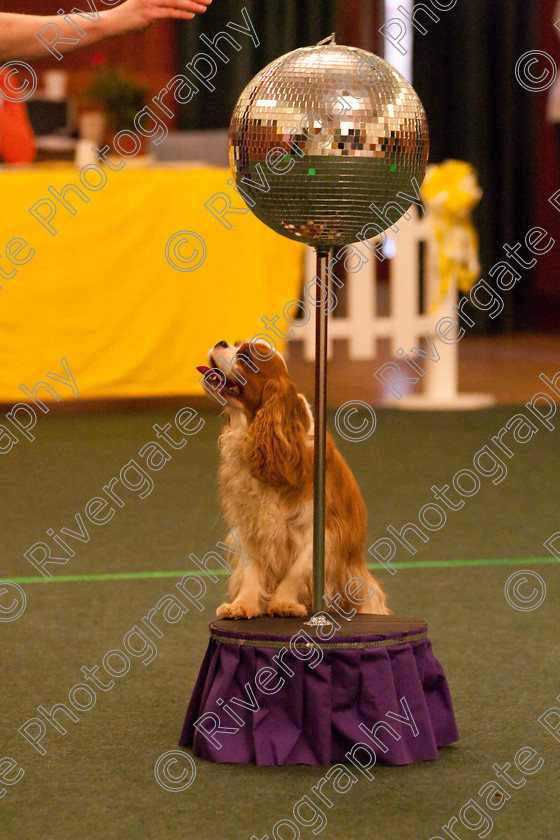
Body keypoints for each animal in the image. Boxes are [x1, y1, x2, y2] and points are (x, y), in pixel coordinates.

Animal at [197, 338, 390, 620]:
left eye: (246, 358)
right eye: (234, 343)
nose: (220, 342)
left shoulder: (321, 531)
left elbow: (297, 571)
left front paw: (284, 603)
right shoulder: (251, 526)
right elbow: (252, 571)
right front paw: (243, 604)